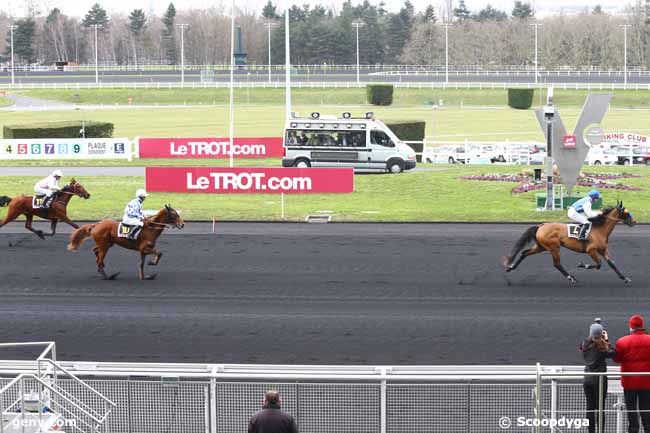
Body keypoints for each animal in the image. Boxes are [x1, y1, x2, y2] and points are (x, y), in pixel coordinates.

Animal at [502, 202, 632, 286]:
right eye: (626, 213)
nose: (633, 222)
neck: (599, 230)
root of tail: (541, 225)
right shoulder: (591, 250)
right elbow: (599, 264)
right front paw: (582, 265)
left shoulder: (603, 249)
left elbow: (612, 264)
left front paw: (625, 278)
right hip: (554, 247)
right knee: (557, 264)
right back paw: (571, 278)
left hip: (541, 246)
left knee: (524, 253)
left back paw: (510, 267)